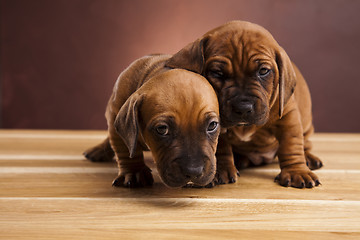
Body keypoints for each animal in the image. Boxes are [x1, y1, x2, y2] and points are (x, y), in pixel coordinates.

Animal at [85, 60, 219, 188]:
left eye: (212, 125)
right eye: (162, 129)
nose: (193, 171)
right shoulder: (116, 117)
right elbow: (126, 149)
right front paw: (134, 172)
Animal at [165, 20, 322, 188]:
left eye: (263, 71)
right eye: (217, 73)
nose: (243, 108)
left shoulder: (288, 116)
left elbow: (291, 145)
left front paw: (296, 171)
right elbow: (221, 146)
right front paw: (221, 169)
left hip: (307, 126)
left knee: (305, 143)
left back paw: (309, 158)